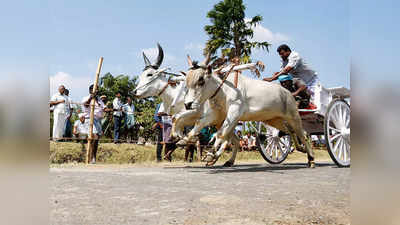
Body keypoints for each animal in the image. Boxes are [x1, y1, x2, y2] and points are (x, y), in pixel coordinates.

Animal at [184, 55, 316, 167]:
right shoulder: (216, 114)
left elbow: (220, 134)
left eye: (201, 80)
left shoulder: (234, 113)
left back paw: (311, 159)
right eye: (187, 83)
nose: (187, 104)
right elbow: (200, 123)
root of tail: (287, 93)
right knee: (289, 132)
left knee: (303, 134)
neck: (224, 89)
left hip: (293, 116)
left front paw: (210, 154)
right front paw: (185, 139)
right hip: (273, 120)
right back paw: (301, 149)